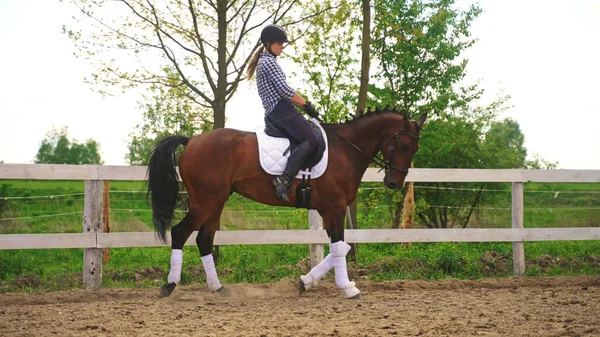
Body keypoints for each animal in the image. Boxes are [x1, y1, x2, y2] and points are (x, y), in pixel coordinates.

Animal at [146, 107, 426, 296]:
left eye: (414, 149)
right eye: (403, 146)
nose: (394, 183)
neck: (345, 149)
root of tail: (192, 140)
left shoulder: (328, 211)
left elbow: (340, 247)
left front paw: (306, 282)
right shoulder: (335, 209)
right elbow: (339, 248)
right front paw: (348, 288)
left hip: (216, 202)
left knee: (204, 238)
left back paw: (217, 287)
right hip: (206, 202)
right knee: (180, 232)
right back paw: (170, 285)